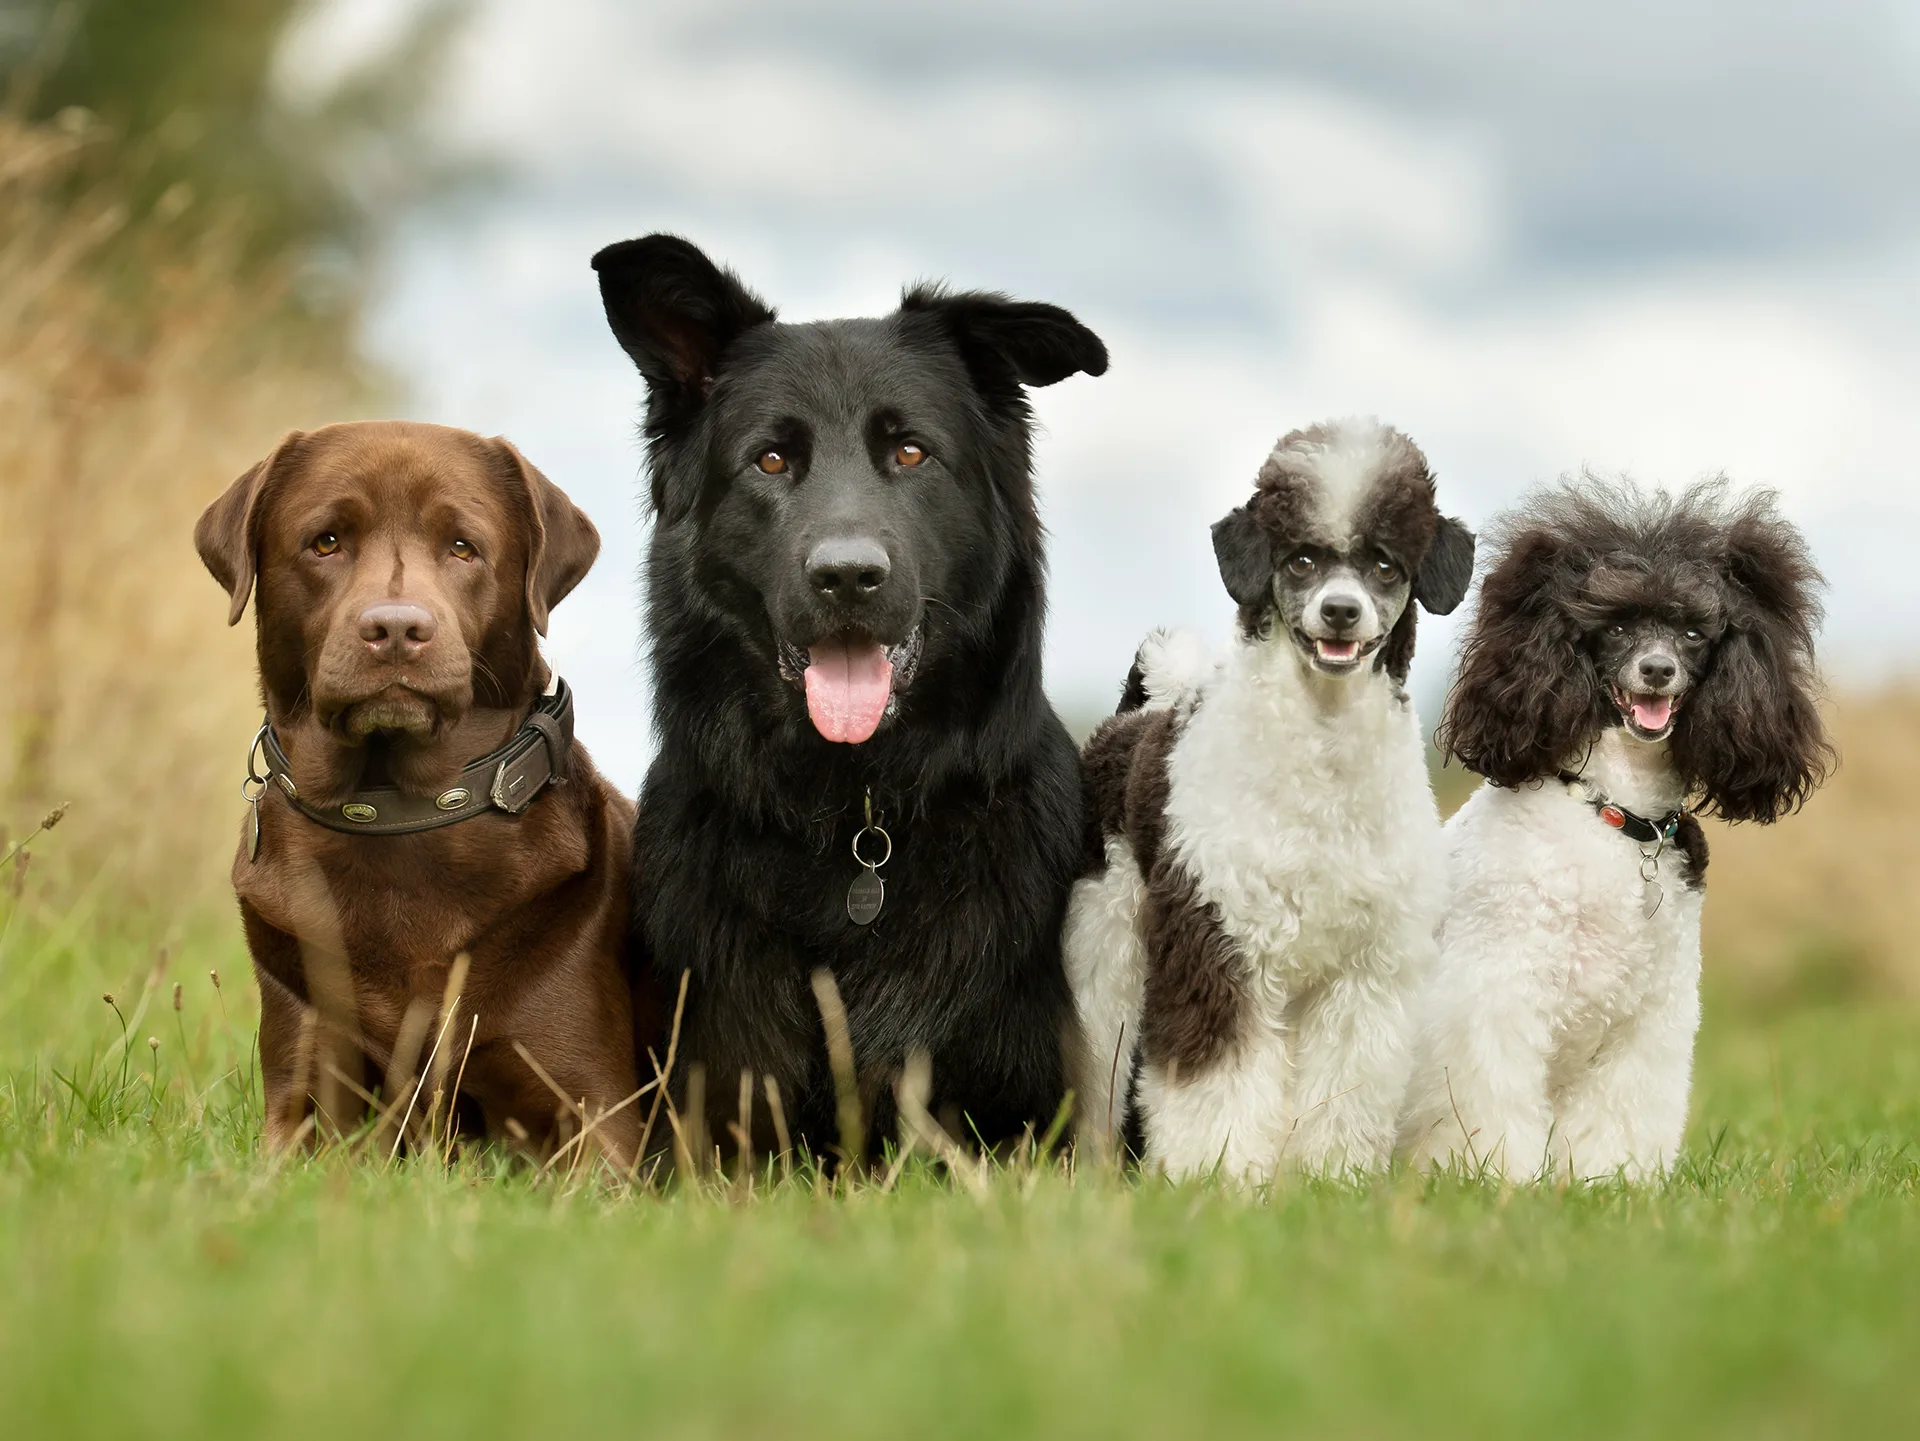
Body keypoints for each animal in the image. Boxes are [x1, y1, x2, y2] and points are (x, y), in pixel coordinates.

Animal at [195, 422, 648, 1166]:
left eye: (463, 546)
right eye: (326, 541)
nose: (397, 629)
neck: (398, 814)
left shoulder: (598, 1119)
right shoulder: (302, 1097)